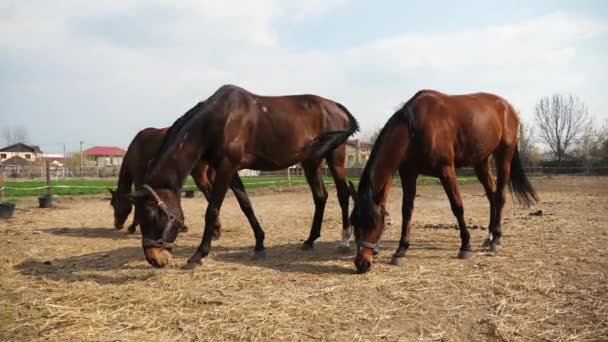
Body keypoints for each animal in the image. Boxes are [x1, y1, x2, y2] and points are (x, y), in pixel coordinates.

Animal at [132, 84, 358, 268]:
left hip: (335, 157)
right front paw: (259, 245)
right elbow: (246, 205)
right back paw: (310, 240)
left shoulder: (226, 167)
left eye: (152, 216)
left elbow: (212, 210)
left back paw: (344, 240)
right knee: (320, 197)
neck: (219, 119)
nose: (154, 258)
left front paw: (198, 255)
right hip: (311, 161)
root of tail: (336, 106)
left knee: (342, 194)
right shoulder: (230, 170)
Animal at [350, 89, 540, 274]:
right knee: (491, 196)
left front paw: (465, 247)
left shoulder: (446, 171)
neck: (415, 127)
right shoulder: (408, 173)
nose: (362, 263)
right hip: (481, 161)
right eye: (353, 222)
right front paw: (400, 250)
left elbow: (457, 207)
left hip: (504, 156)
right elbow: (407, 210)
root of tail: (508, 107)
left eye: (373, 223)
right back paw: (489, 236)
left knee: (499, 196)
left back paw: (496, 240)